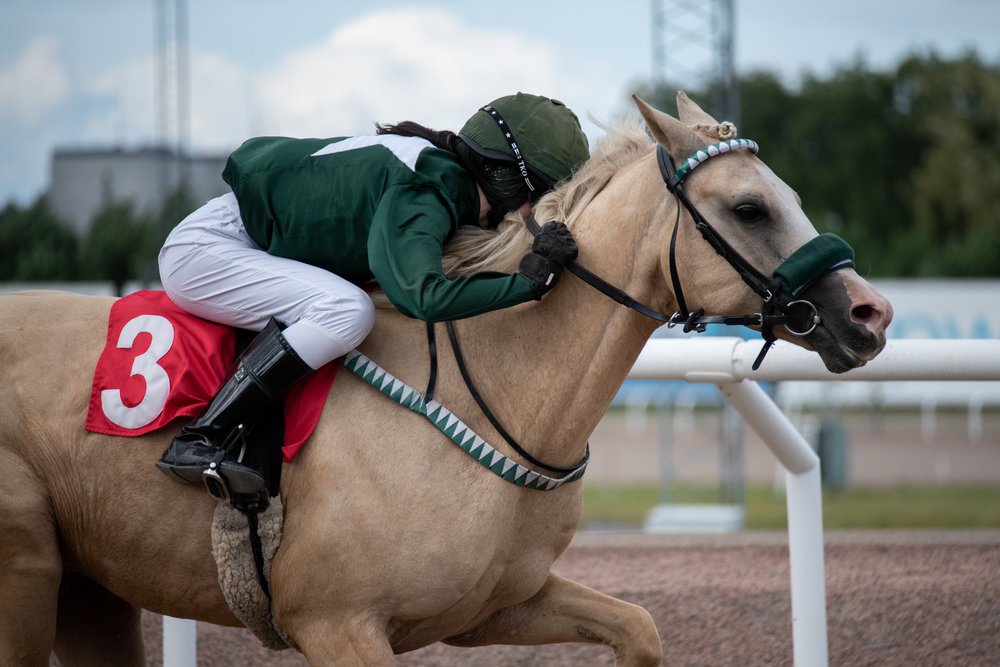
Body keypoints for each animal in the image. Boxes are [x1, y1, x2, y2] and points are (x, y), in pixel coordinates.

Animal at [0, 92, 892, 664]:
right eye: (749, 208)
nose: (871, 312)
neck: (494, 391)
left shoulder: (492, 605)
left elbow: (639, 627)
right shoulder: (339, 624)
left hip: (92, 586)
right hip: (28, 569)